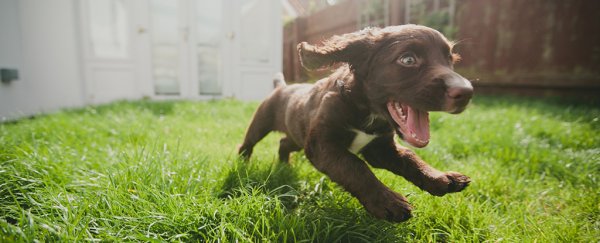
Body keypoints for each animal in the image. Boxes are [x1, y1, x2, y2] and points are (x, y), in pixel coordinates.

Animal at [239, 24, 474, 222]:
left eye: (451, 60)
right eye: (408, 60)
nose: (467, 92)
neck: (367, 113)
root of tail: (282, 86)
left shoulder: (380, 148)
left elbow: (410, 157)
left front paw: (440, 177)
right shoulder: (321, 144)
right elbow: (355, 166)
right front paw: (389, 202)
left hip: (298, 136)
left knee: (283, 143)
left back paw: (284, 165)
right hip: (261, 123)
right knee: (247, 143)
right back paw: (243, 164)